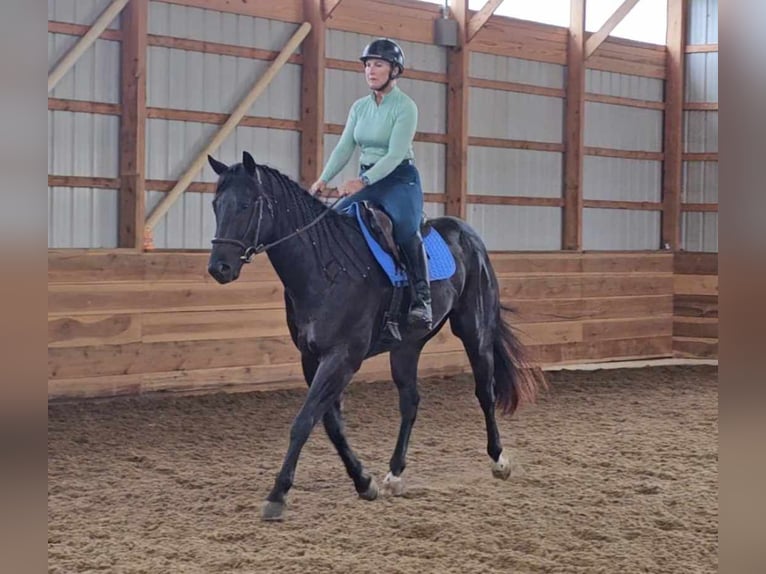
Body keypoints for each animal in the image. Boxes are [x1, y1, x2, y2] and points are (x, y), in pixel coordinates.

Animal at [207, 152, 544, 520]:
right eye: (216, 205)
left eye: (245, 205)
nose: (218, 268)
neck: (324, 267)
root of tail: (468, 234)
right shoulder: (312, 358)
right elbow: (331, 424)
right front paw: (363, 481)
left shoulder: (342, 358)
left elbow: (304, 420)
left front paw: (277, 494)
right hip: (407, 347)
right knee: (410, 402)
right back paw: (394, 474)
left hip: (474, 330)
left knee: (485, 391)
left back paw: (499, 460)